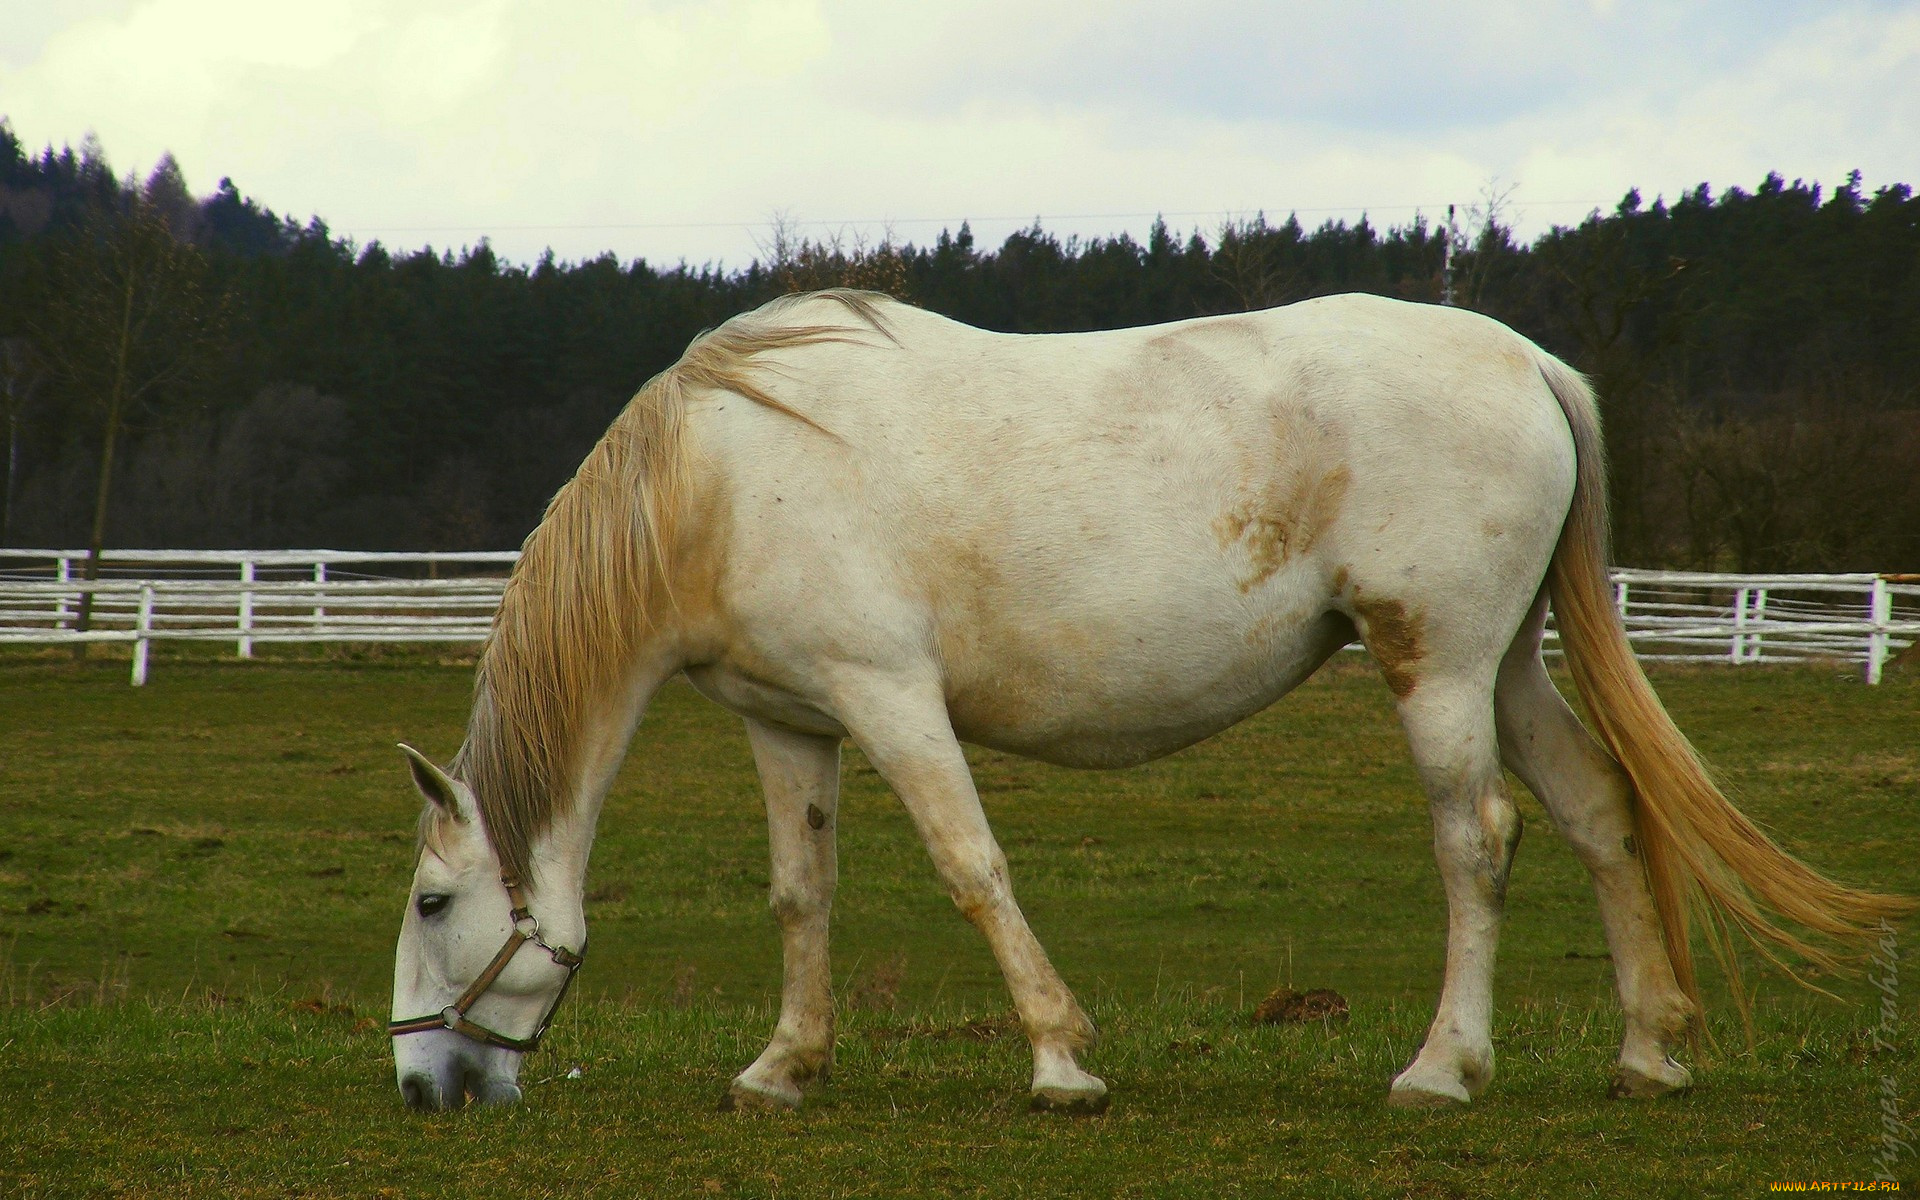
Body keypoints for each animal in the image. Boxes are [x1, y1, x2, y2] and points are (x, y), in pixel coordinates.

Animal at [389, 289, 1904, 1113]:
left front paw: (1062, 1062)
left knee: (1476, 841)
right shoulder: (792, 720)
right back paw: (1649, 1053)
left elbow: (971, 866)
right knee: (1596, 812)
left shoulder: (890, 695)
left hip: (1439, 666)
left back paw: (1441, 1068)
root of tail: (1528, 360)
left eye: (430, 901)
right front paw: (783, 1069)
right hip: (1509, 663)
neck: (719, 474)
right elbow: (801, 897)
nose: (422, 1083)